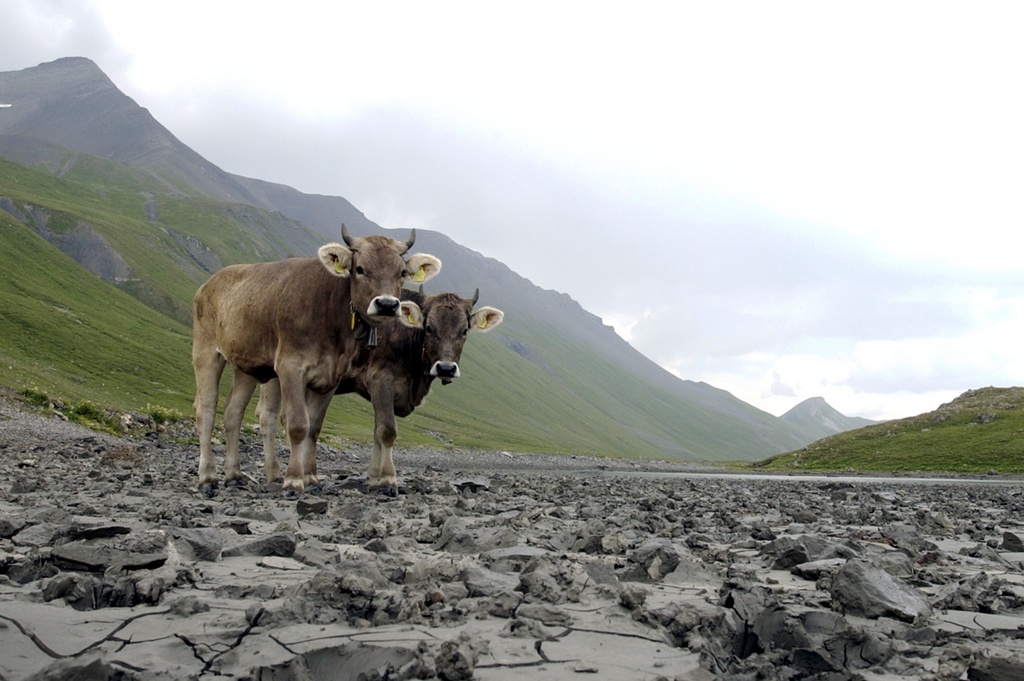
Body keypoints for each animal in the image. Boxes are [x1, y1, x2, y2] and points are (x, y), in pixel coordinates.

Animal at [192, 225, 440, 497]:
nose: (386, 304)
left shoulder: (331, 376)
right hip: (206, 351)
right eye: (360, 268)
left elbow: (313, 427)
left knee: (232, 413)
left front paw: (310, 478)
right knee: (206, 410)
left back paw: (234, 475)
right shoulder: (290, 367)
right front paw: (293, 480)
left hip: (247, 365)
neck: (330, 311)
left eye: (402, 272)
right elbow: (298, 425)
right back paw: (208, 476)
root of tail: (210, 282)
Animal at [256, 286, 503, 493]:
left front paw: (374, 477)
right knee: (269, 417)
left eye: (464, 331)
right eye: (429, 328)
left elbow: (376, 432)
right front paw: (388, 479)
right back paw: (275, 474)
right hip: (277, 372)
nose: (446, 368)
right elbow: (387, 431)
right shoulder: (381, 381)